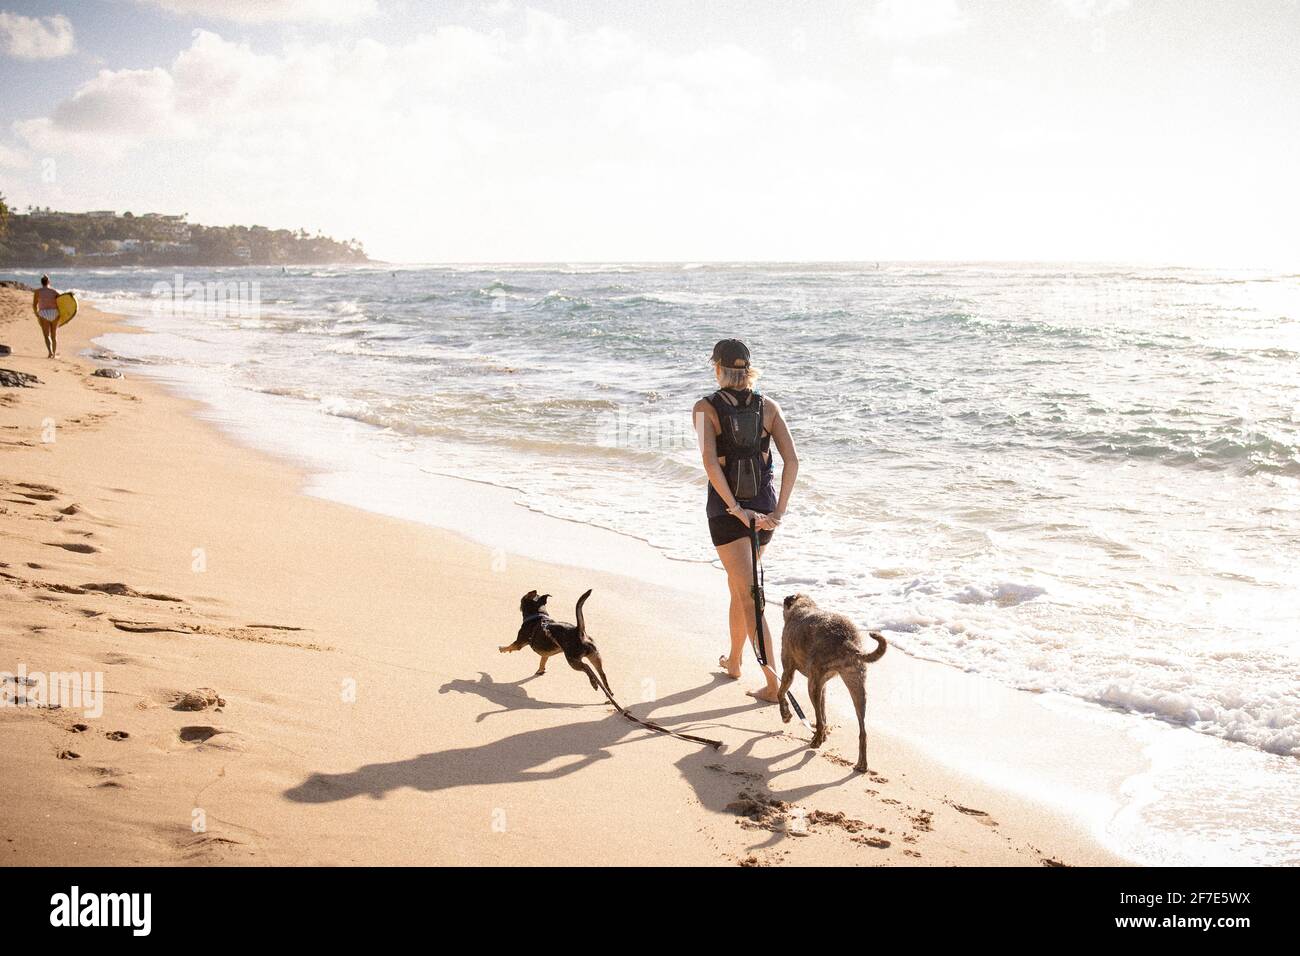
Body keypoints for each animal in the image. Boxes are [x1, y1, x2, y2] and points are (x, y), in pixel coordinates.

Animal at [774, 595, 889, 775]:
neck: (802, 607)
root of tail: (847, 641)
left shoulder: (789, 669)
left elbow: (781, 693)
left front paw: (786, 715)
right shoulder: (823, 685)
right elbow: (823, 712)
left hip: (812, 684)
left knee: (819, 721)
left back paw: (816, 741)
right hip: (857, 684)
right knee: (862, 731)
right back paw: (861, 764)